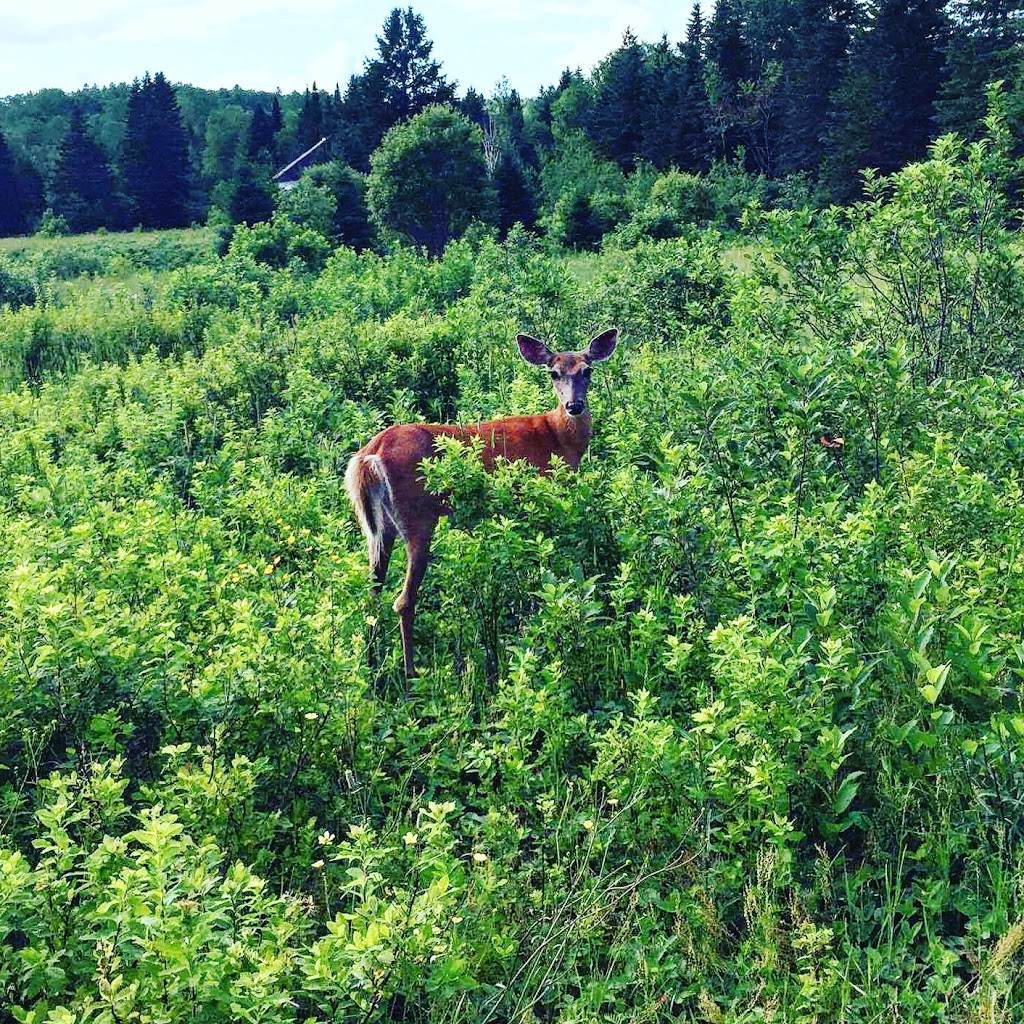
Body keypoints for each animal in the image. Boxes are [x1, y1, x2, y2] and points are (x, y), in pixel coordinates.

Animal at [346, 329, 614, 679]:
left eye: (587, 371)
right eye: (554, 373)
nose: (574, 405)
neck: (557, 437)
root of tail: (369, 456)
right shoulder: (540, 494)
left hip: (378, 530)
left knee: (371, 595)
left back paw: (370, 666)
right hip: (418, 517)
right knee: (403, 600)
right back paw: (410, 677)